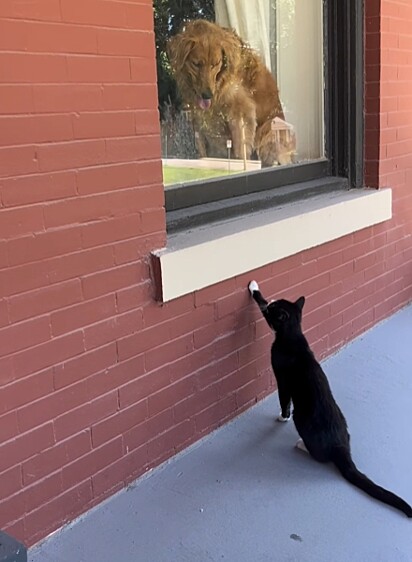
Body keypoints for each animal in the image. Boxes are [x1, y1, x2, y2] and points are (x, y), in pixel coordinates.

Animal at [167, 20, 296, 168]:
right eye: (196, 64)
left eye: (215, 64)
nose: (207, 95)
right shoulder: (198, 117)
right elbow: (202, 149)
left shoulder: (241, 112)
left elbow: (241, 149)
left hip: (269, 128)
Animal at [248, 278, 412, 516]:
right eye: (274, 304)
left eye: (273, 310)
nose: (272, 303)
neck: (293, 336)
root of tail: (341, 447)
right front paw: (255, 286)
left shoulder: (281, 378)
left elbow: (283, 399)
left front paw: (281, 417)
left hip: (301, 418)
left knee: (318, 455)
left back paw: (301, 445)